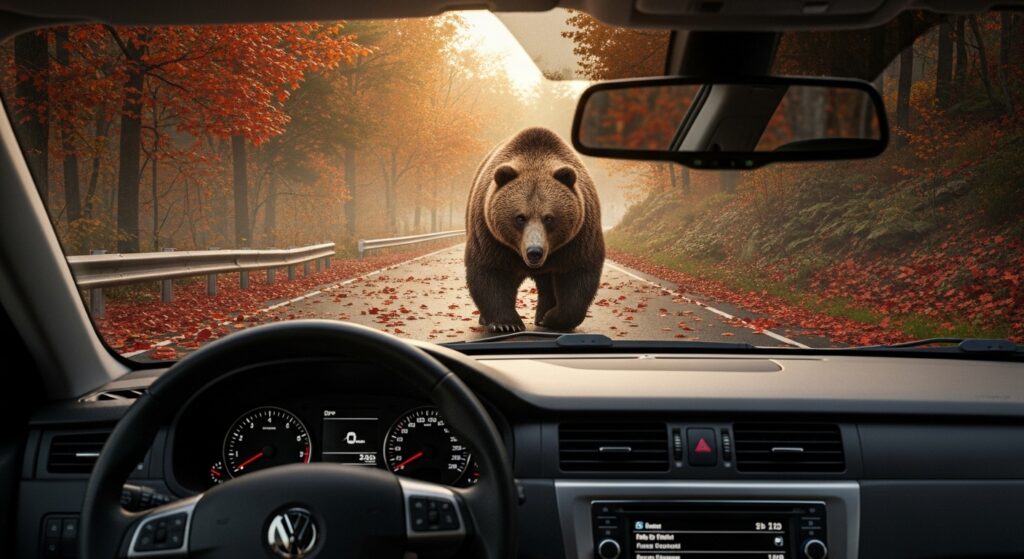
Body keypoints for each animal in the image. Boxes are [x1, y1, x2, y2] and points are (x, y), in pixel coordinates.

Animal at [464, 127, 605, 333]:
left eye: (549, 218)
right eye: (520, 217)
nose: (534, 252)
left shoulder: (578, 238)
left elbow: (578, 275)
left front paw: (552, 318)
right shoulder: (491, 237)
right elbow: (489, 271)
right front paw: (506, 323)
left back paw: (542, 315)